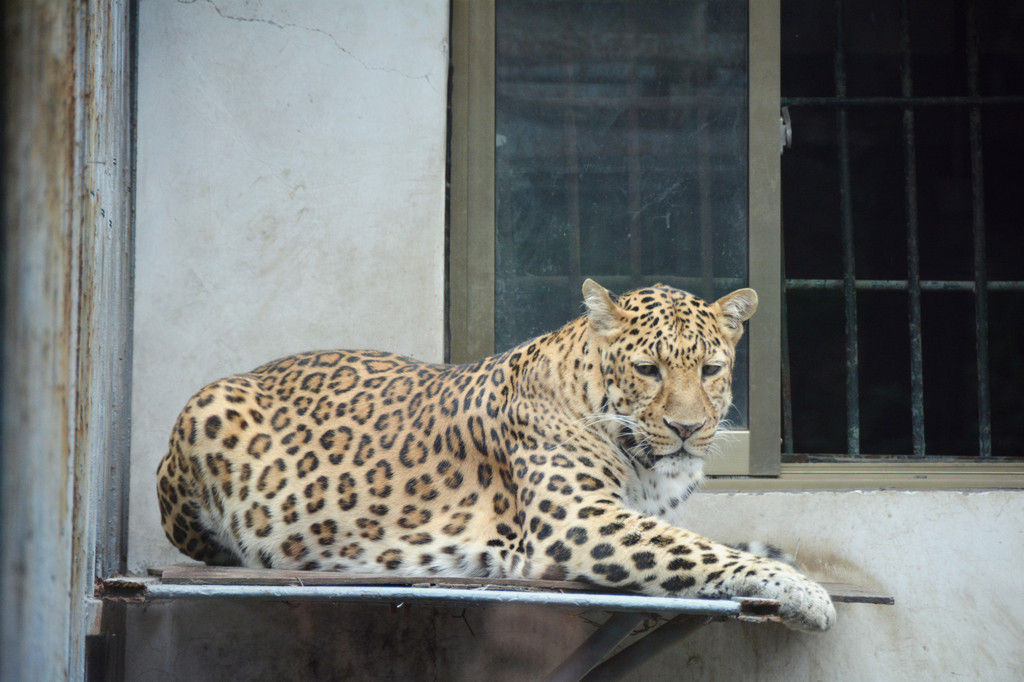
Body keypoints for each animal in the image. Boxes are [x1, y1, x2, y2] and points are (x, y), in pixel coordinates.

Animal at [157, 278, 831, 630]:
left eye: (711, 369)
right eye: (648, 369)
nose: (688, 429)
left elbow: (702, 540)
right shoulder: (579, 523)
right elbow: (694, 549)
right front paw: (802, 591)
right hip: (204, 410)